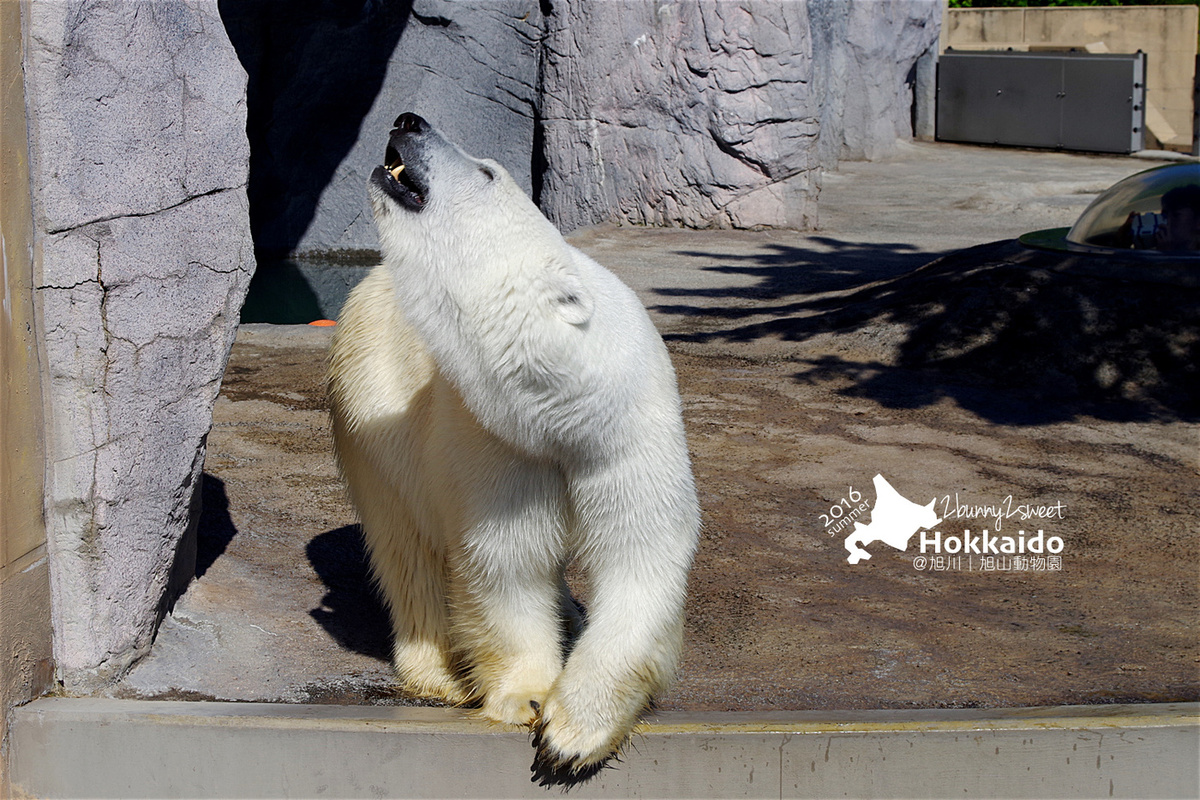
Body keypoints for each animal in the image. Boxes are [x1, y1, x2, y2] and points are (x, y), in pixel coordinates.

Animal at [327, 113, 700, 786]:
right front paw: (528, 699)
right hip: (370, 402)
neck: (568, 410)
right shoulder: (495, 442)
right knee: (406, 546)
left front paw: (572, 738)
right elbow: (507, 562)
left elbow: (640, 560)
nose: (408, 120)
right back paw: (442, 675)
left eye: (486, 172)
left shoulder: (629, 434)